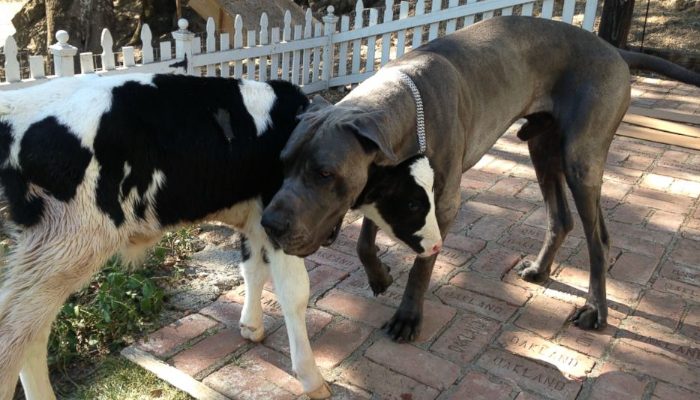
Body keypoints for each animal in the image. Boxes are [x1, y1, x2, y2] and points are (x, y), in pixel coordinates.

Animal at [0, 72, 438, 400]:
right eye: (413, 201)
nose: (436, 244)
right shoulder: (280, 221)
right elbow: (295, 293)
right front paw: (312, 378)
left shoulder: (258, 220)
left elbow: (252, 271)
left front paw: (250, 327)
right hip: (67, 247)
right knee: (16, 334)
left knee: (31, 334)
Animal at [262, 15, 700, 340]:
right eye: (282, 164)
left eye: (324, 173)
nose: (270, 224)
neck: (403, 107)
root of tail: (612, 48)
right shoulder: (380, 186)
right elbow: (365, 240)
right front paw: (380, 275)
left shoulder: (442, 203)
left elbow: (422, 265)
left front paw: (408, 316)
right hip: (542, 148)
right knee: (560, 217)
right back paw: (541, 269)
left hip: (582, 158)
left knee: (599, 239)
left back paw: (595, 309)